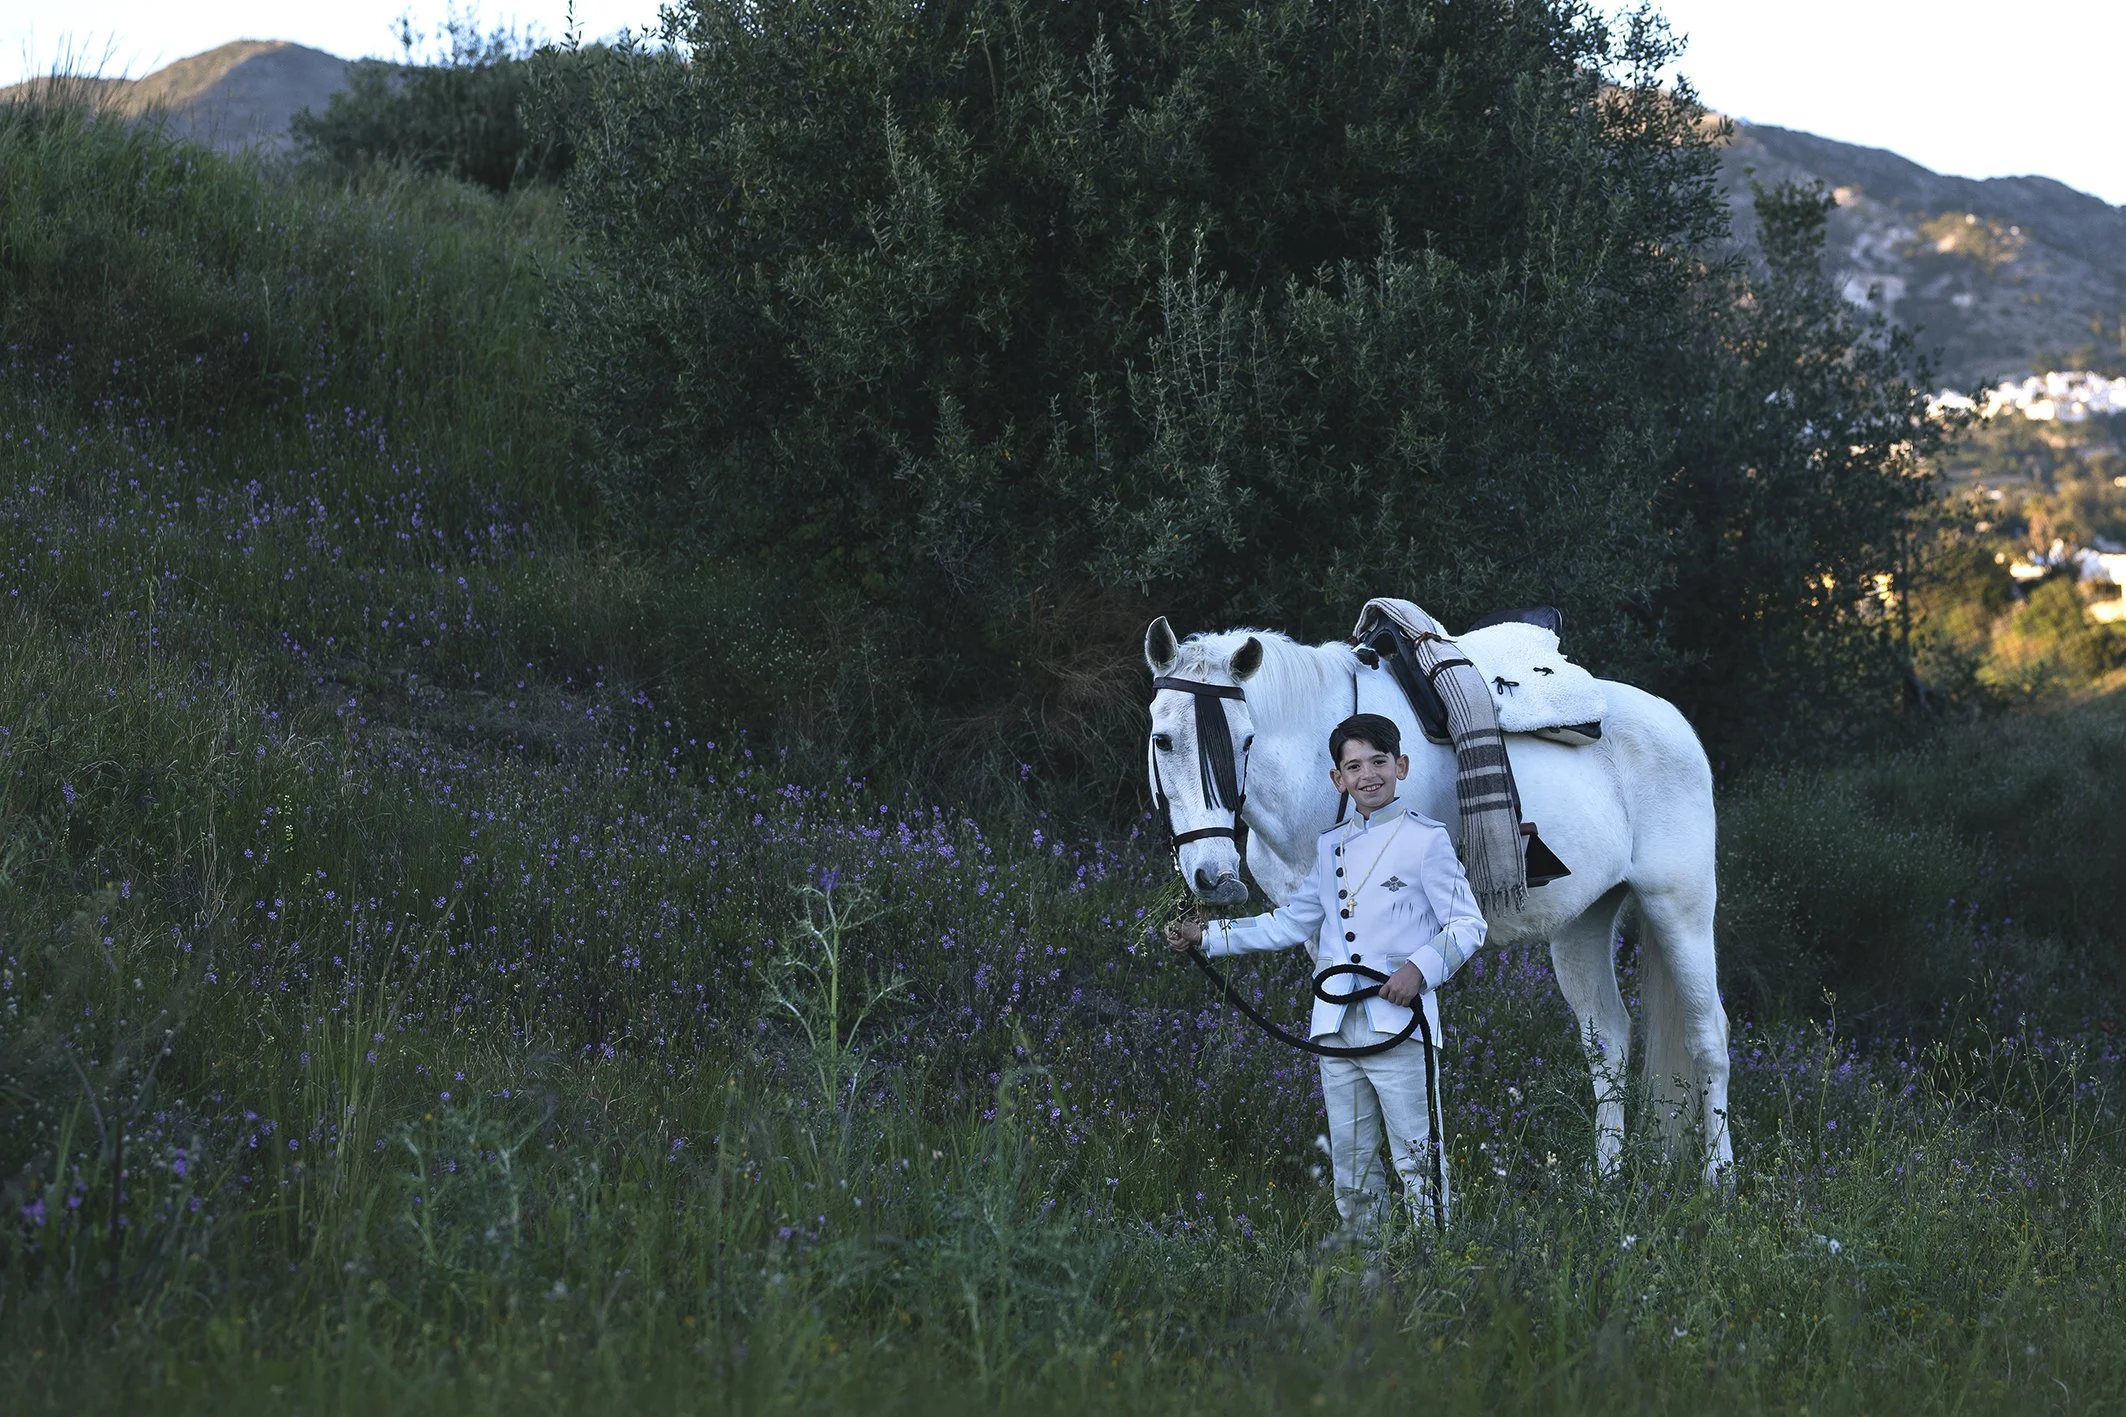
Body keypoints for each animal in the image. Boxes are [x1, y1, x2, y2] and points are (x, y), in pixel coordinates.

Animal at [1144, 616, 1733, 1180]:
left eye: (1246, 741)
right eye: (1162, 740)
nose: (1217, 877)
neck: (1320, 776)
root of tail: (1674, 723)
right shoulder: (1320, 941)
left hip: (1680, 908)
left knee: (1709, 1038)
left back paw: (1718, 1181)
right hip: (1583, 923)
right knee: (1608, 1040)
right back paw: (1605, 1181)